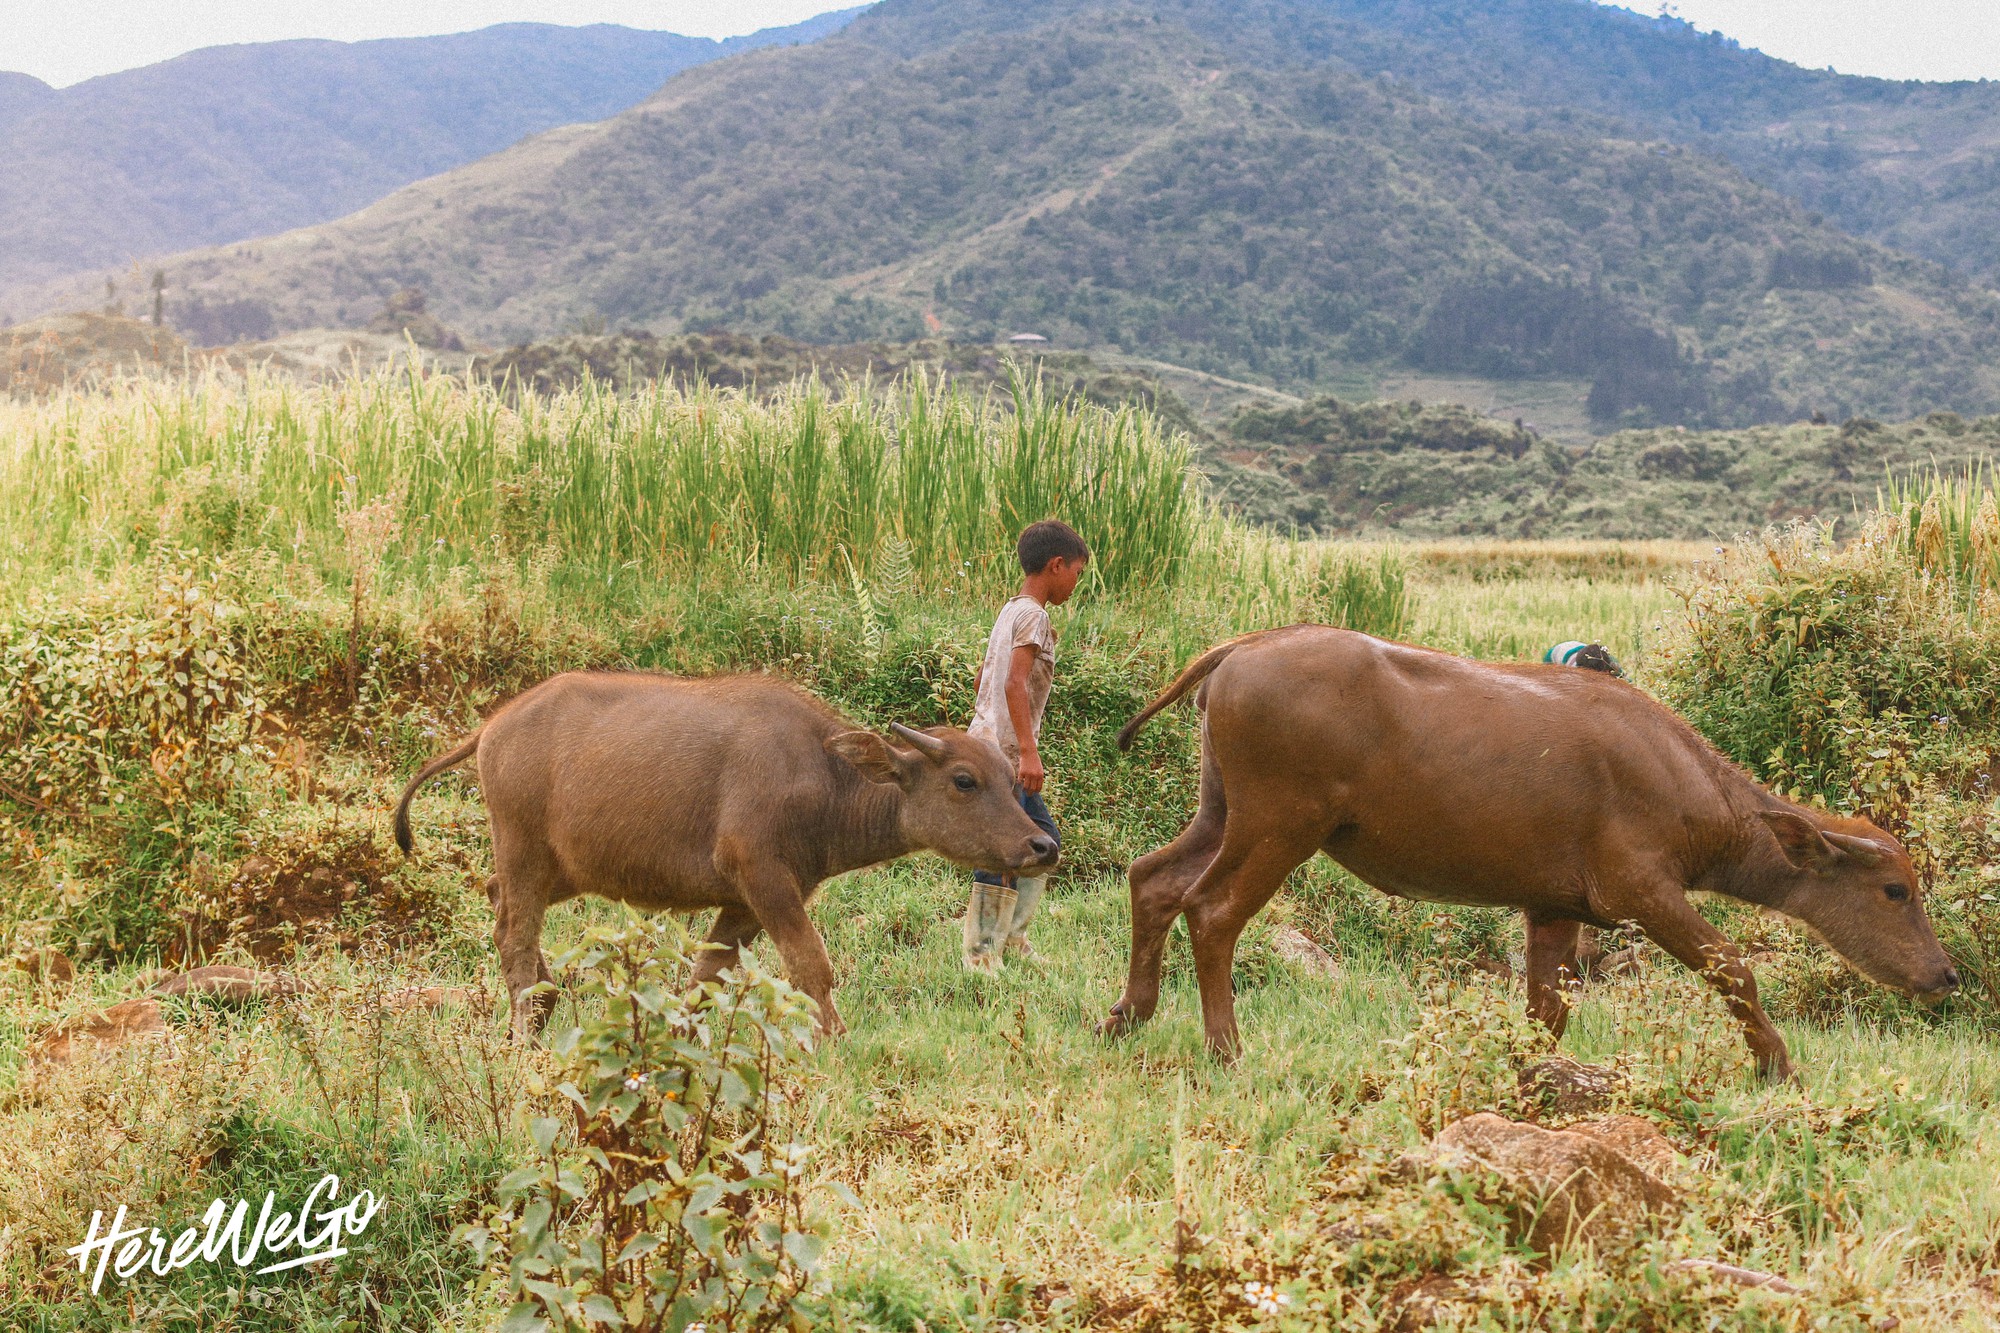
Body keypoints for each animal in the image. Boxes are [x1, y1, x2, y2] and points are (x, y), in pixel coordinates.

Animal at [396, 668, 1072, 1032]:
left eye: (1008, 777)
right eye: (964, 780)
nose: (1041, 845)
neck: (823, 778)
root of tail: (494, 725)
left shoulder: (747, 899)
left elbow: (706, 975)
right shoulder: (764, 878)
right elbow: (810, 966)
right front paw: (834, 1040)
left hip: (562, 866)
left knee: (498, 904)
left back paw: (544, 1002)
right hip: (525, 854)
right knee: (513, 931)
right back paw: (526, 1025)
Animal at [1104, 624, 1960, 1080]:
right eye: (1896, 890)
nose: (1945, 974)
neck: (1679, 775)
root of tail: (1245, 647)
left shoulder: (1552, 908)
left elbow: (1547, 1009)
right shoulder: (1645, 894)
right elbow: (1732, 966)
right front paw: (1775, 1063)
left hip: (1220, 813)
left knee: (1152, 880)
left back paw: (1127, 1015)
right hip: (1278, 827)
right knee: (1211, 912)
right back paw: (1226, 1048)